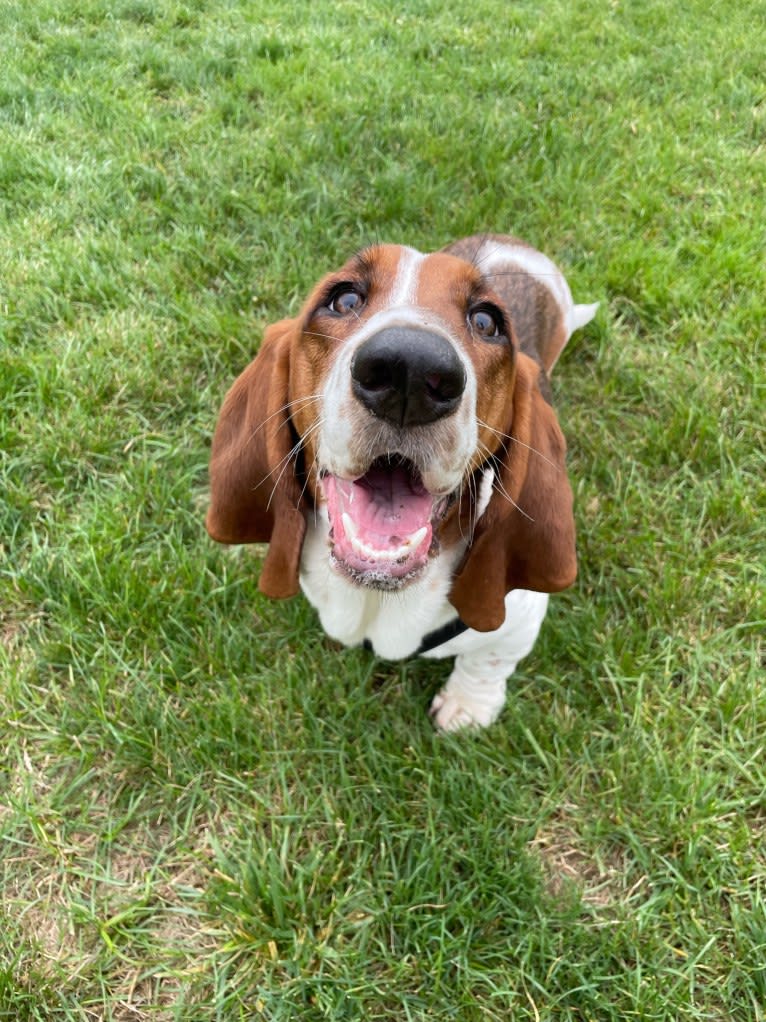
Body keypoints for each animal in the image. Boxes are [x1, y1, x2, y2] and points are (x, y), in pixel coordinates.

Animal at [208, 234, 600, 727]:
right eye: (344, 299)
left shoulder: (519, 618)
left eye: (487, 321)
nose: (409, 369)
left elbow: (488, 660)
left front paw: (468, 707)